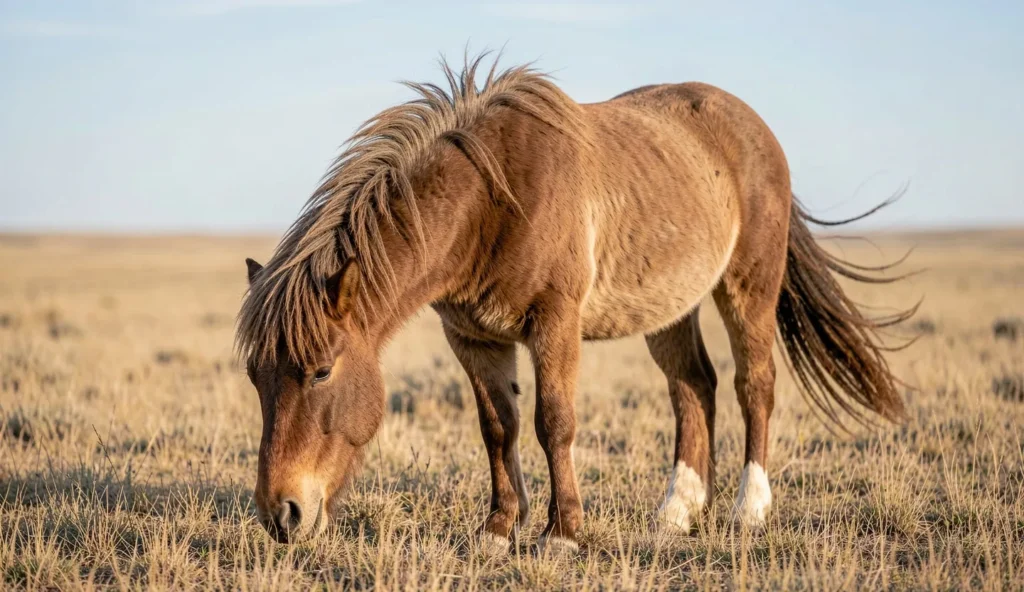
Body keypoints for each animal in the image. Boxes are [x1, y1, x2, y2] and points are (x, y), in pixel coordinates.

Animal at [236, 55, 913, 550]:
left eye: (321, 371)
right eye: (255, 379)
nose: (280, 515)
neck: (491, 200)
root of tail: (753, 126)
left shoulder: (554, 322)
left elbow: (552, 422)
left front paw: (561, 533)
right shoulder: (473, 336)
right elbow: (498, 427)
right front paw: (497, 529)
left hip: (749, 284)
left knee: (755, 384)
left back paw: (749, 509)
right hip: (669, 307)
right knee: (694, 386)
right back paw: (677, 513)